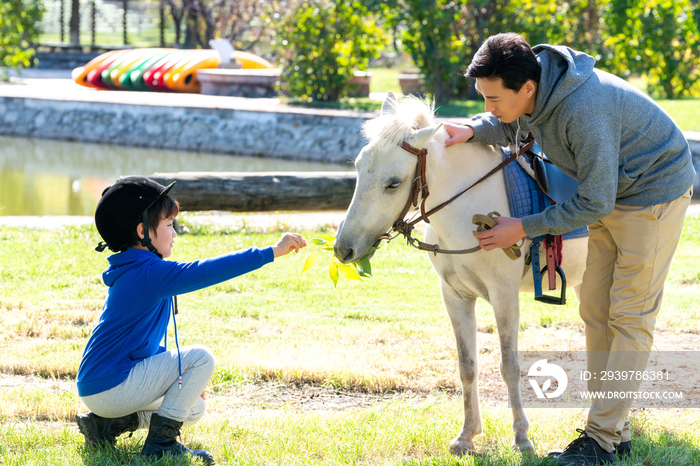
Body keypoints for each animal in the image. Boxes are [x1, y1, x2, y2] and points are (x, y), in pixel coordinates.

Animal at [336, 93, 588, 456]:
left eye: (393, 183)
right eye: (357, 168)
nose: (343, 248)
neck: (466, 212)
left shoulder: (504, 295)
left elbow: (509, 366)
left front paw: (522, 438)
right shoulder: (455, 295)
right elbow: (467, 365)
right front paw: (467, 436)